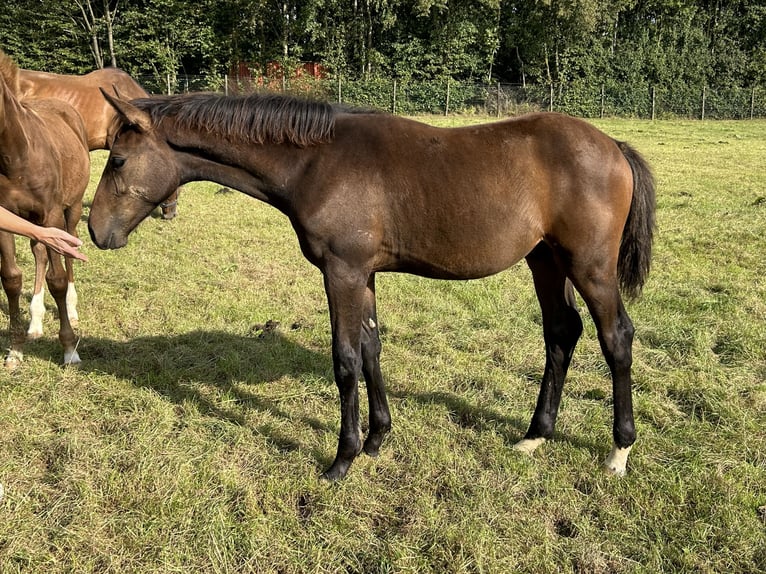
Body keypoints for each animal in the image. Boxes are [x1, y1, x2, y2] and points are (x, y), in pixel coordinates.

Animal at [0, 53, 91, 368]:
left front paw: (69, 349)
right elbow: (11, 278)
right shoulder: (5, 218)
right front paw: (15, 349)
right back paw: (36, 322)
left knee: (70, 250)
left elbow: (58, 280)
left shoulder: (51, 213)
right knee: (39, 251)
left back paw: (72, 310)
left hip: (70, 210)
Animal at [88, 93, 656, 482]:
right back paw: (535, 437)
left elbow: (344, 360)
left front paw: (342, 459)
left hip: (590, 267)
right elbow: (371, 348)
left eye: (117, 160)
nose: (96, 232)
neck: (316, 162)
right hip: (546, 260)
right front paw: (378, 438)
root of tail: (613, 146)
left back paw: (619, 451)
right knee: (561, 332)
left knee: (616, 339)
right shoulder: (364, 275)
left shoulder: (340, 272)